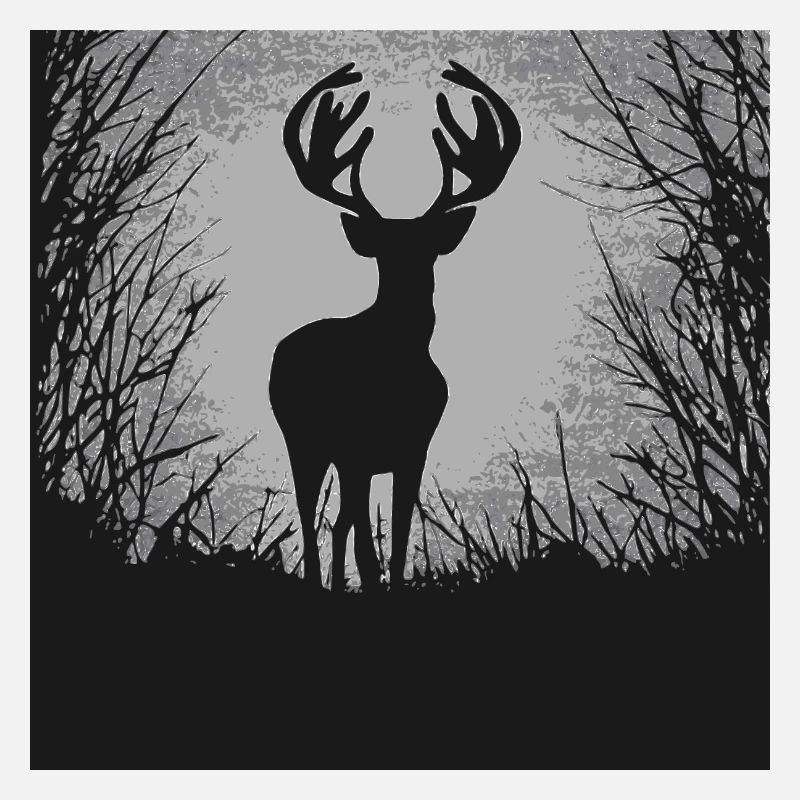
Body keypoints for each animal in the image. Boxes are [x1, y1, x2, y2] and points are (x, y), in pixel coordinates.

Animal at [269, 61, 521, 591]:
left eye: (427, 248)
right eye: (385, 252)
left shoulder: (413, 448)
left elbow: (400, 537)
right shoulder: (355, 447)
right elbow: (367, 545)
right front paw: (367, 581)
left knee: (338, 520)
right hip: (301, 435)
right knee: (308, 512)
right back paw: (316, 581)